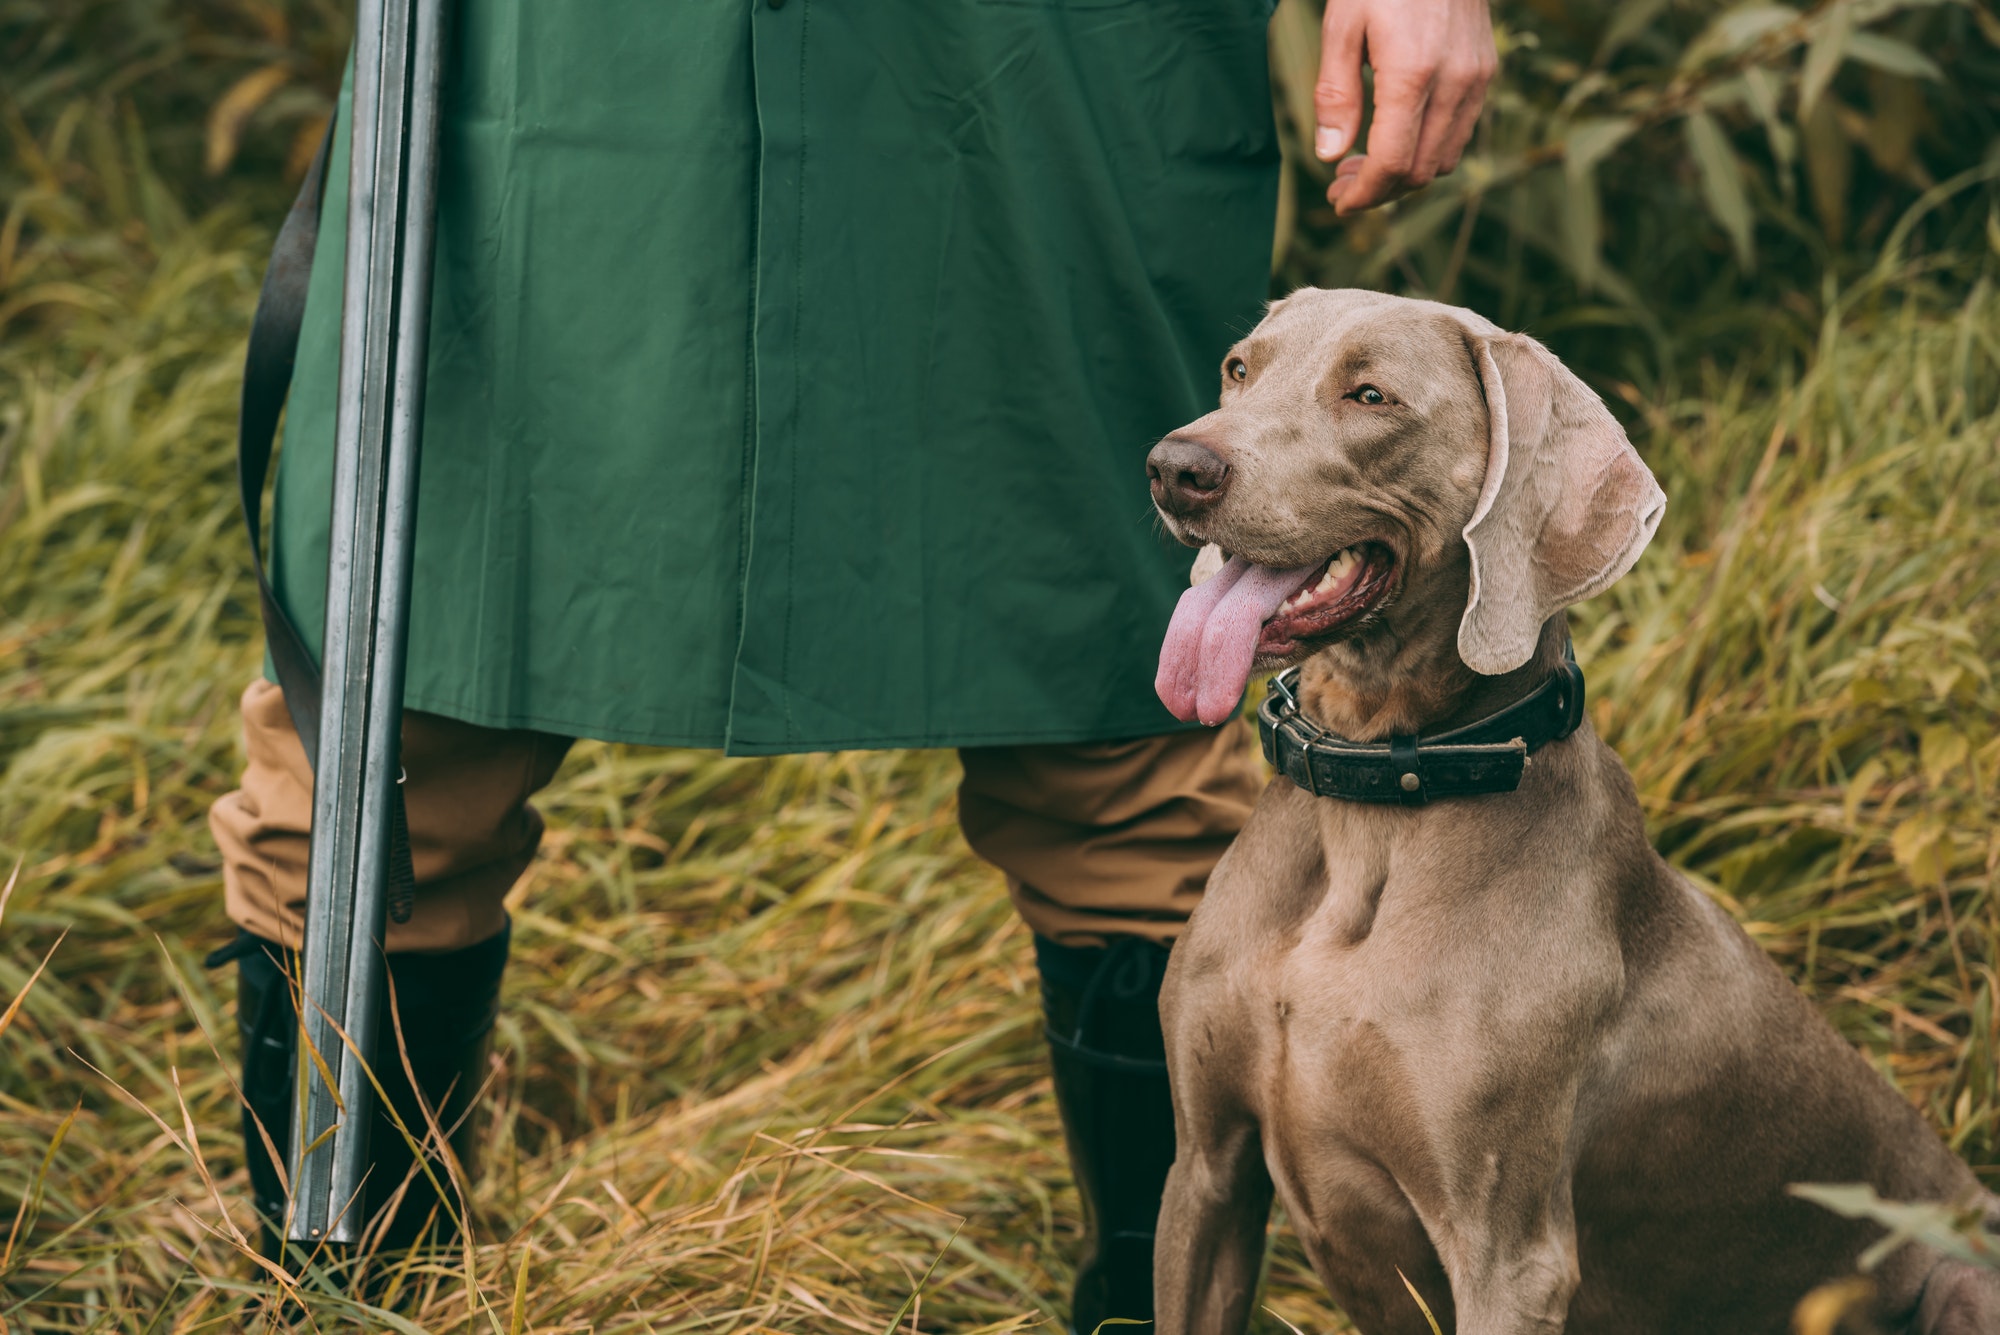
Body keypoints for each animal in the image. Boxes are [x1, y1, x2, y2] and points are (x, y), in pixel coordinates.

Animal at [1144, 289, 2000, 1335]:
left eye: (1370, 395)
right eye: (1239, 368)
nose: (1176, 466)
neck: (1377, 800)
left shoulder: (1509, 1256)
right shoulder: (1205, 1172)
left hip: (1964, 1276)